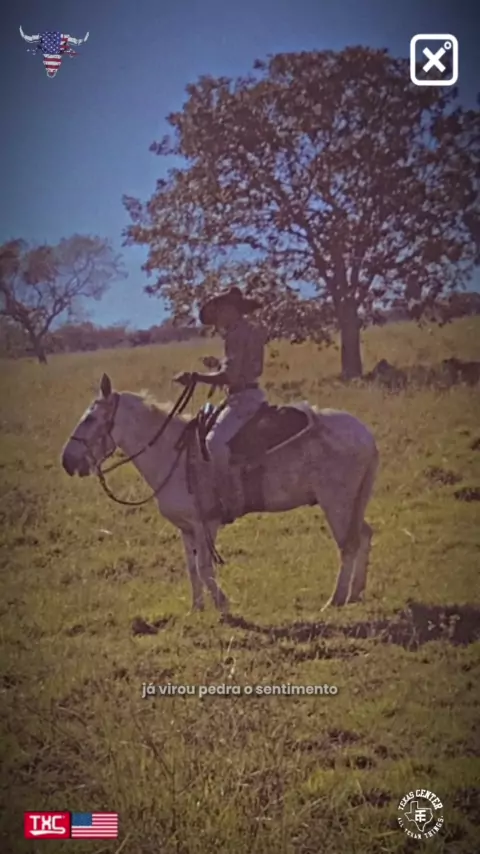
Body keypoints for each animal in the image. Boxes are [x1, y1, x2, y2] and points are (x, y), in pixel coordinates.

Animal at [61, 373, 379, 615]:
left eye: (90, 419)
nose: (67, 461)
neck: (173, 453)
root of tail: (365, 434)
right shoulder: (186, 529)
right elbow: (192, 569)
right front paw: (197, 609)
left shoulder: (206, 524)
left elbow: (204, 568)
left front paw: (223, 605)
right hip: (354, 502)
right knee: (364, 534)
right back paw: (355, 593)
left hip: (337, 503)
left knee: (348, 545)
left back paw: (335, 600)